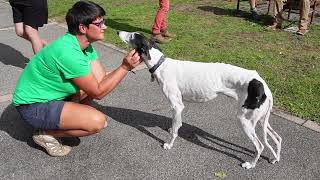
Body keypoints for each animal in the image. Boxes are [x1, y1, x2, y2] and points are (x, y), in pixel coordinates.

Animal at [117, 31, 280, 169]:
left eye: (132, 36)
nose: (118, 32)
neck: (161, 64)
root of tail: (262, 84)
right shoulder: (178, 108)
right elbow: (176, 125)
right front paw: (173, 128)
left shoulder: (177, 106)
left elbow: (174, 131)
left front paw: (169, 145)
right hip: (260, 120)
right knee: (277, 138)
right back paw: (275, 158)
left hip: (245, 120)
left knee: (260, 146)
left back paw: (251, 164)